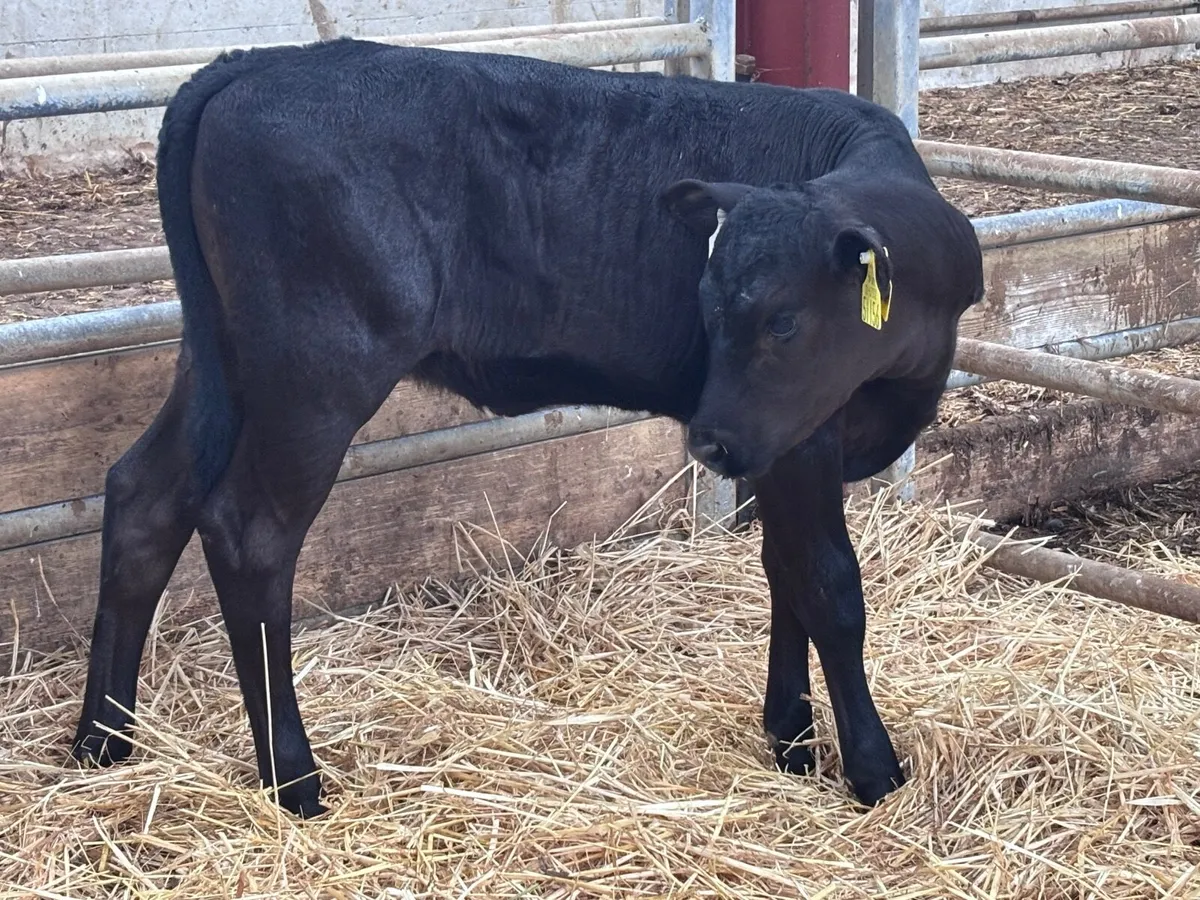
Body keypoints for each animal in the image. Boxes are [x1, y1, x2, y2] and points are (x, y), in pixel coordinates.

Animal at [69, 38, 984, 818]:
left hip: (222, 357)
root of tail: (252, 63)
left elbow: (784, 573)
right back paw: (293, 780)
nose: (709, 440)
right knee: (248, 530)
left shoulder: (779, 440)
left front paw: (791, 740)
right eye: (713, 307)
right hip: (315, 370)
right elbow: (830, 587)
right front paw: (873, 769)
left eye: (783, 321)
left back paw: (101, 741)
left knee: (146, 493)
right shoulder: (800, 437)